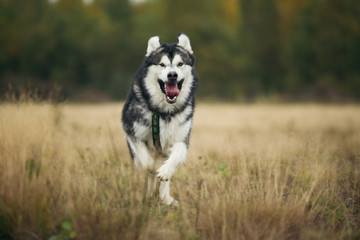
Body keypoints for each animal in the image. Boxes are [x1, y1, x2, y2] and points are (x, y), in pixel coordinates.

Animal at [122, 33, 198, 206]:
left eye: (180, 64)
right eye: (162, 64)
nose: (172, 75)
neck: (163, 112)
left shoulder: (181, 139)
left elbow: (176, 157)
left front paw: (164, 171)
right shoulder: (132, 132)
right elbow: (146, 161)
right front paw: (152, 168)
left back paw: (165, 198)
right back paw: (150, 193)